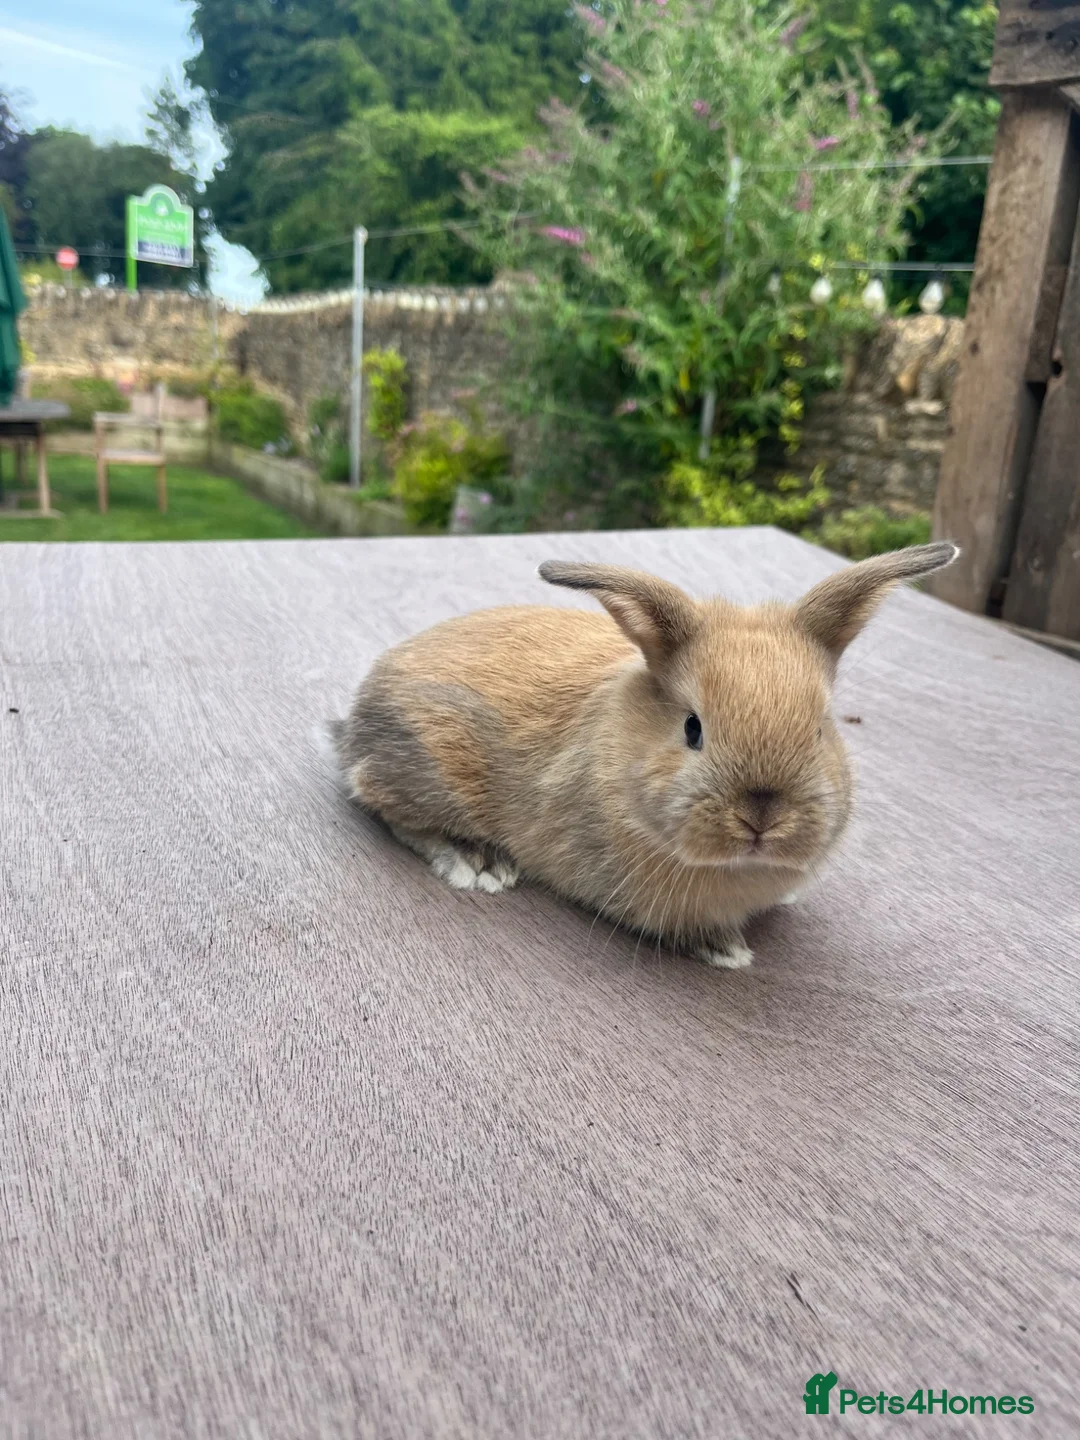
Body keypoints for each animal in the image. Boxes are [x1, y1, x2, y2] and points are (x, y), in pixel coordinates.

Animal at [332, 541, 958, 968]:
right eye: (692, 728)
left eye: (823, 729)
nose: (761, 818)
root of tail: (354, 722)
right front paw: (726, 949)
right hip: (428, 767)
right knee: (388, 808)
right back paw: (478, 862)